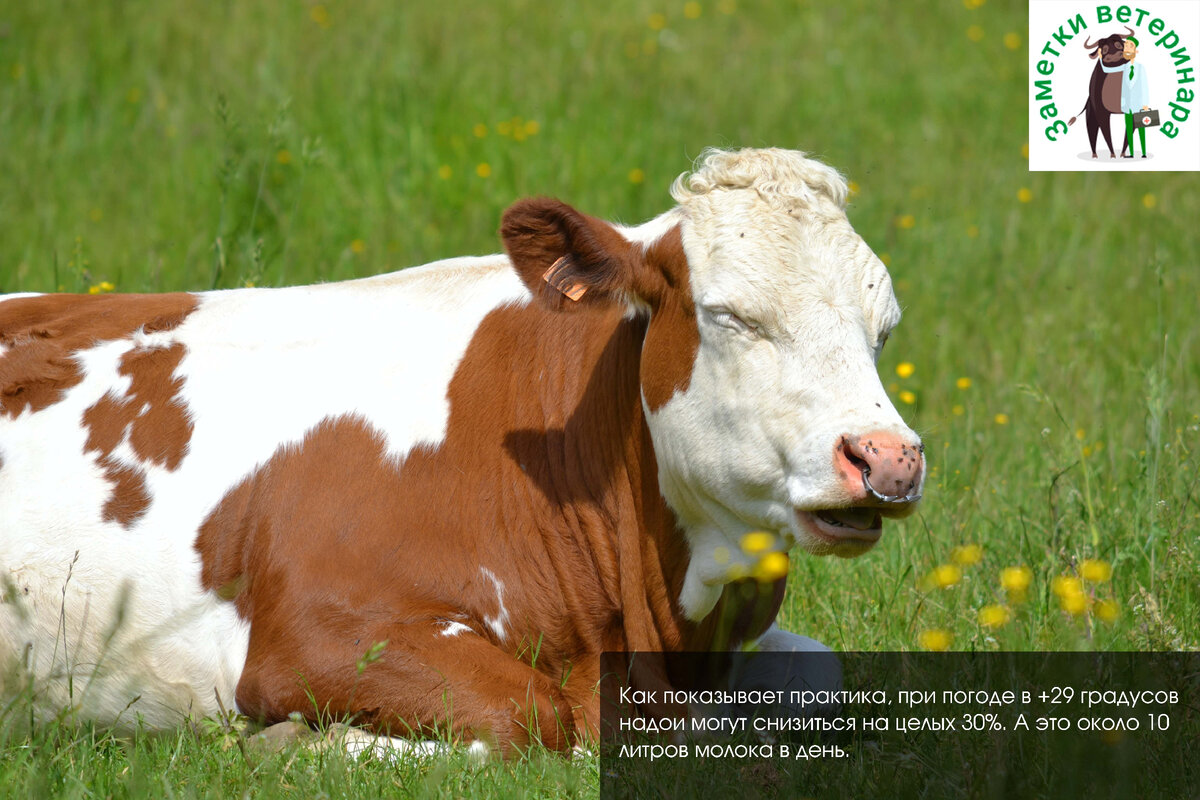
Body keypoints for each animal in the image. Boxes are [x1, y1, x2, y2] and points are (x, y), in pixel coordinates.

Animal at [0, 148, 926, 758]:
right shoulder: (315, 629)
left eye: (883, 325)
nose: (887, 458)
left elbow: (824, 680)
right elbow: (530, 717)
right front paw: (298, 743)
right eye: (729, 315)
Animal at [1070, 26, 1132, 158]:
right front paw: (1113, 155)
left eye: (1119, 44)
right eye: (1103, 49)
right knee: (1092, 134)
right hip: (1091, 118)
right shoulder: (1101, 113)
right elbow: (1106, 134)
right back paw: (1094, 155)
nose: (1114, 55)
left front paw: (1122, 153)